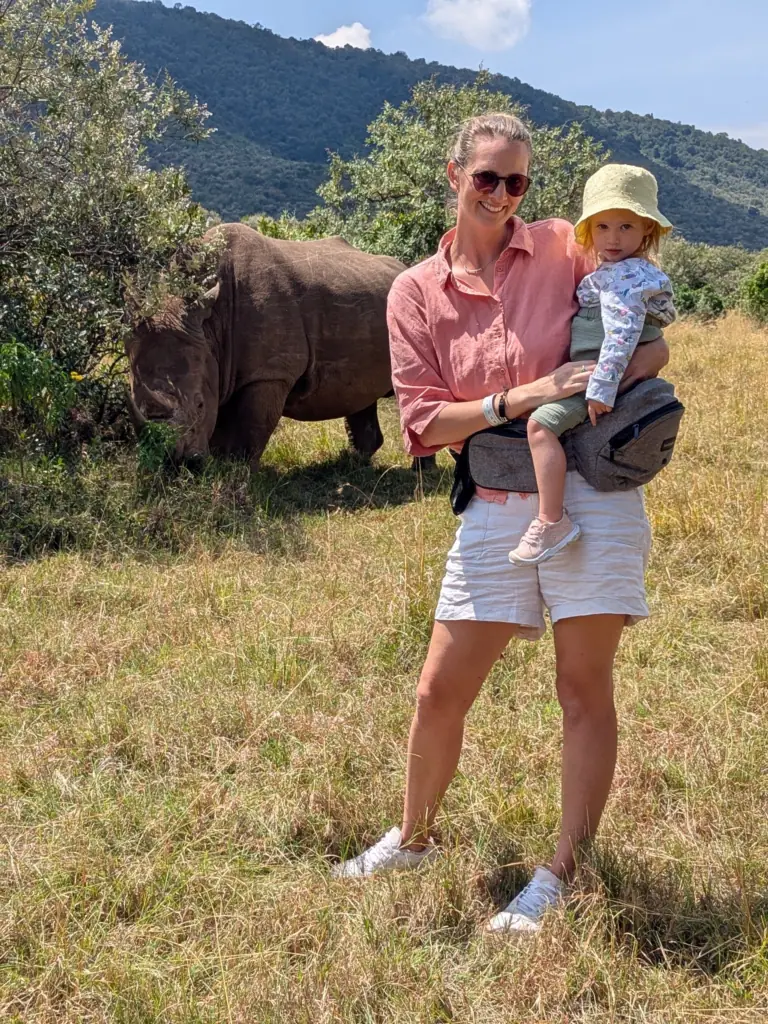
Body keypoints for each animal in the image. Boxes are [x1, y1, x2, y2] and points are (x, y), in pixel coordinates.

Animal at [126, 223, 410, 468]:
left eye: (199, 404)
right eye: (134, 403)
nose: (174, 463)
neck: (211, 326)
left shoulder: (269, 374)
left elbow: (250, 428)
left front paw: (236, 474)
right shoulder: (217, 361)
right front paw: (219, 468)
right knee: (361, 394)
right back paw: (350, 465)